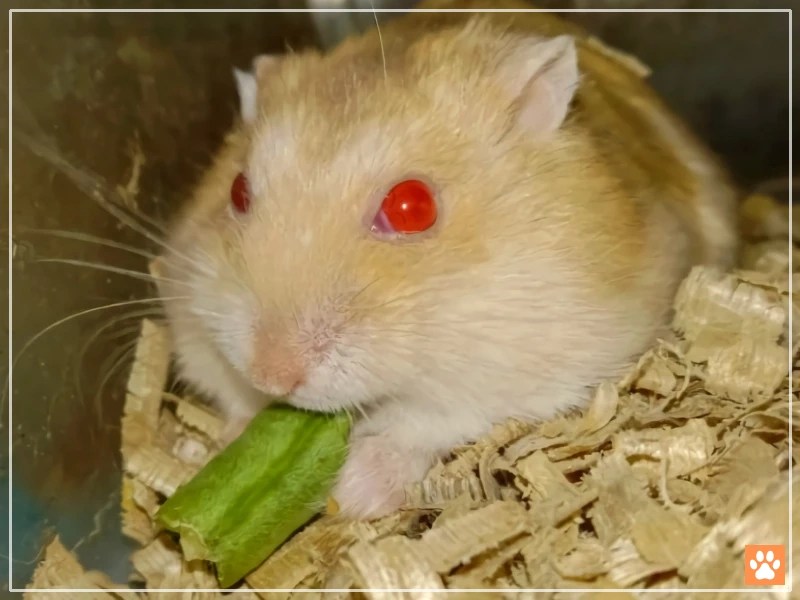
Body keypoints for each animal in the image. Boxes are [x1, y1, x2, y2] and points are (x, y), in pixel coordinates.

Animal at [155, 4, 738, 519]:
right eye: (237, 191)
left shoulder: (545, 362)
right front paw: (227, 445)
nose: (273, 376)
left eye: (412, 207)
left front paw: (352, 493)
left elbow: (427, 419)